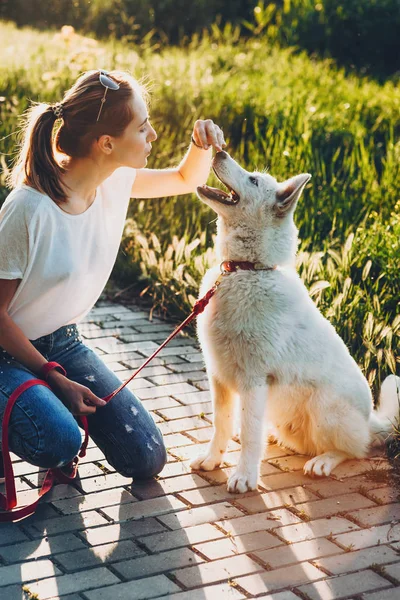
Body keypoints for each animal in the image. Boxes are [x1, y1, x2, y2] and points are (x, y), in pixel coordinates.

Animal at [189, 149, 398, 492]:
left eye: (253, 180)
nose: (219, 151)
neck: (247, 270)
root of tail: (372, 422)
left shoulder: (254, 379)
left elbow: (249, 433)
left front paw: (244, 476)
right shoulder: (218, 376)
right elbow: (221, 424)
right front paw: (212, 460)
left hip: (325, 408)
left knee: (356, 449)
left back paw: (323, 461)